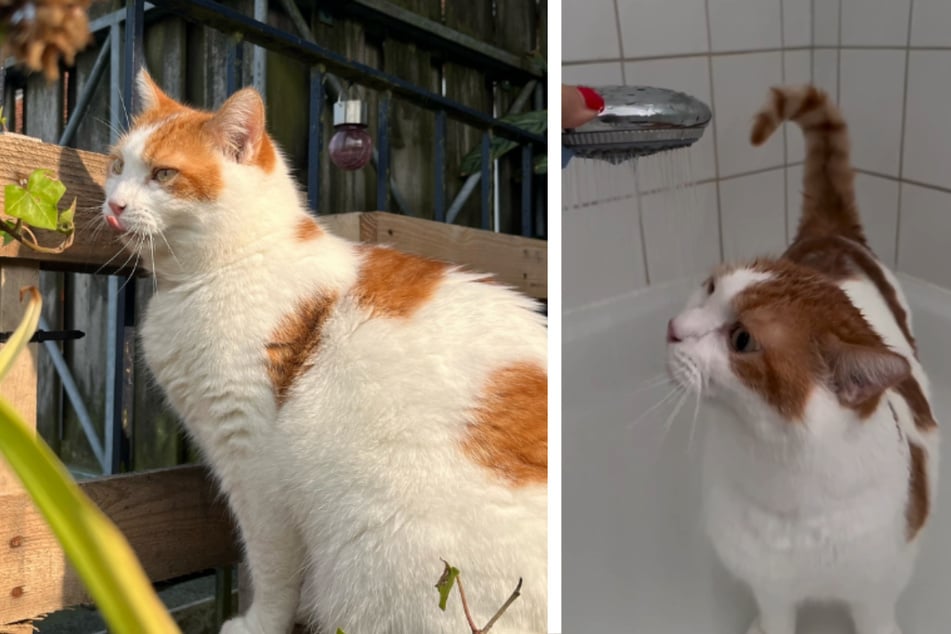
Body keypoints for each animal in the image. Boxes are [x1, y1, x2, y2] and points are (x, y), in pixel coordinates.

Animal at [100, 69, 548, 632]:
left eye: (163, 174)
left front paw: (259, 623)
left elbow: (269, 565)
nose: (113, 205)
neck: (221, 270)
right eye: (118, 165)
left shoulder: (254, 463)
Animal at [664, 85, 940, 632]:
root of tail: (831, 234)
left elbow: (876, 617)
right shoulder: (769, 585)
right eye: (709, 288)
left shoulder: (876, 590)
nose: (673, 329)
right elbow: (773, 618)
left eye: (742, 340)